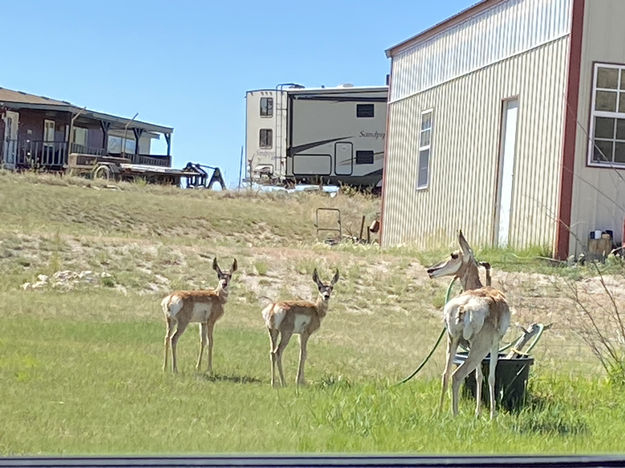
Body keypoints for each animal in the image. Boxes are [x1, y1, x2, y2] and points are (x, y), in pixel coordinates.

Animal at [426, 232, 510, 418]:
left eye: (453, 255)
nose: (430, 270)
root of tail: (463, 306)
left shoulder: (470, 345)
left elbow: (478, 376)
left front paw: (478, 413)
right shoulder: (494, 344)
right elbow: (491, 377)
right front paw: (492, 415)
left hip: (452, 342)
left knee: (445, 374)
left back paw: (440, 413)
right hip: (480, 349)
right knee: (457, 375)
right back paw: (455, 415)